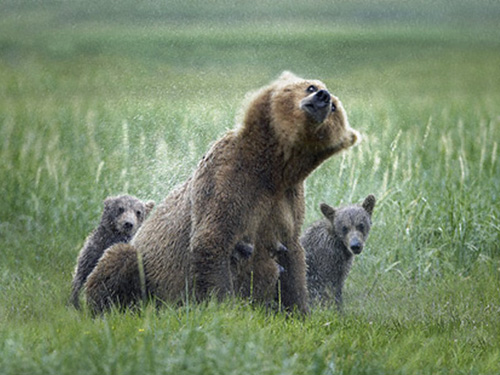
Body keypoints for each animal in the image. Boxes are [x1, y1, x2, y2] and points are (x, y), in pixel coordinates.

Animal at [85, 70, 360, 314]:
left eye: (335, 107)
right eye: (310, 86)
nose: (324, 96)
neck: (271, 167)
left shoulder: (288, 198)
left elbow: (291, 253)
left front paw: (299, 310)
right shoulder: (227, 176)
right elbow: (213, 240)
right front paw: (224, 308)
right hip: (147, 270)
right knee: (119, 259)